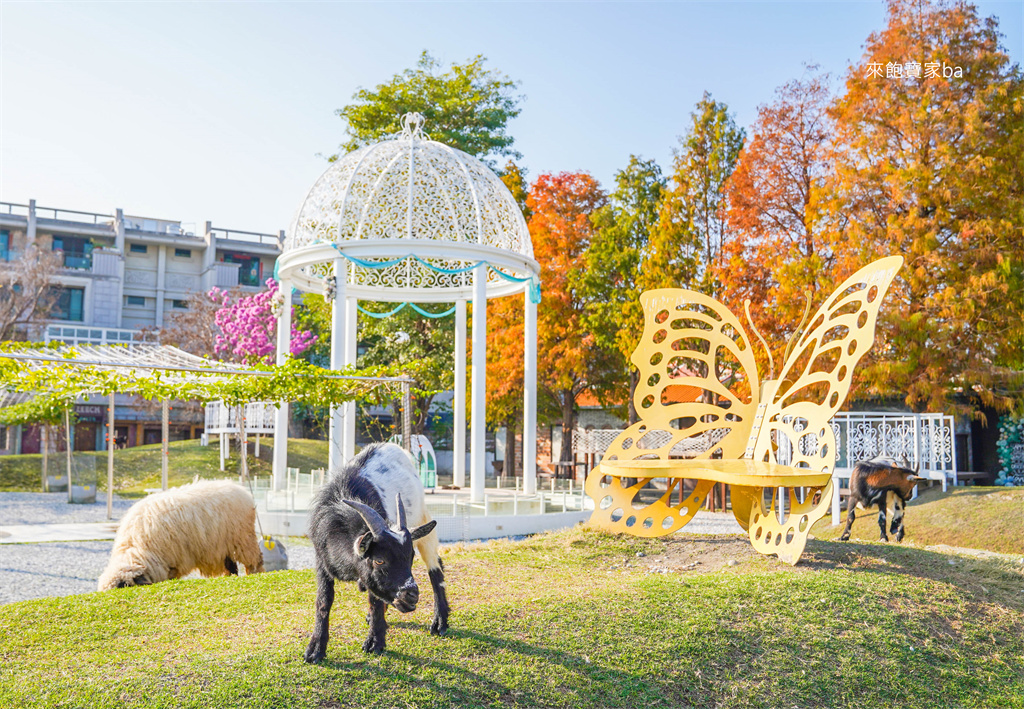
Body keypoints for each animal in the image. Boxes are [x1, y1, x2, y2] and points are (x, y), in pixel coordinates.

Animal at [97, 479, 264, 590]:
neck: (136, 549)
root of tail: (240, 489)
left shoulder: (173, 561)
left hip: (243, 539)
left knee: (254, 561)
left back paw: (254, 573)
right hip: (224, 545)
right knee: (231, 566)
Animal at [301, 442, 450, 659]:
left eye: (410, 557)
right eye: (379, 560)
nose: (411, 595)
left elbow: (375, 601)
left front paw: (375, 642)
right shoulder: (322, 560)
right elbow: (323, 600)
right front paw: (315, 649)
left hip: (423, 517)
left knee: (435, 566)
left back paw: (440, 622)